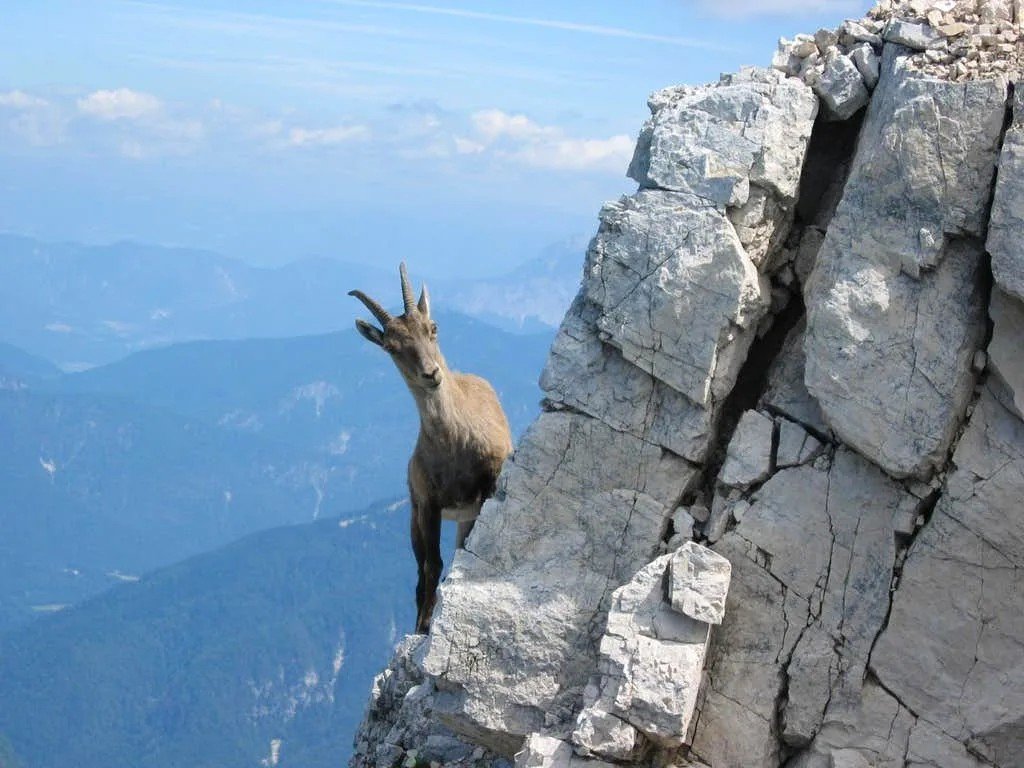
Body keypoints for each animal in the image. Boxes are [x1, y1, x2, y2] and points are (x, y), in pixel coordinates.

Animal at [350, 262, 512, 634]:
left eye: (432, 328)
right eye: (392, 347)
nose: (431, 374)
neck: (455, 444)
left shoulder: (487, 489)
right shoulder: (427, 504)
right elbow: (432, 565)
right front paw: (424, 625)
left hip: (467, 516)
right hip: (415, 519)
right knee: (421, 571)